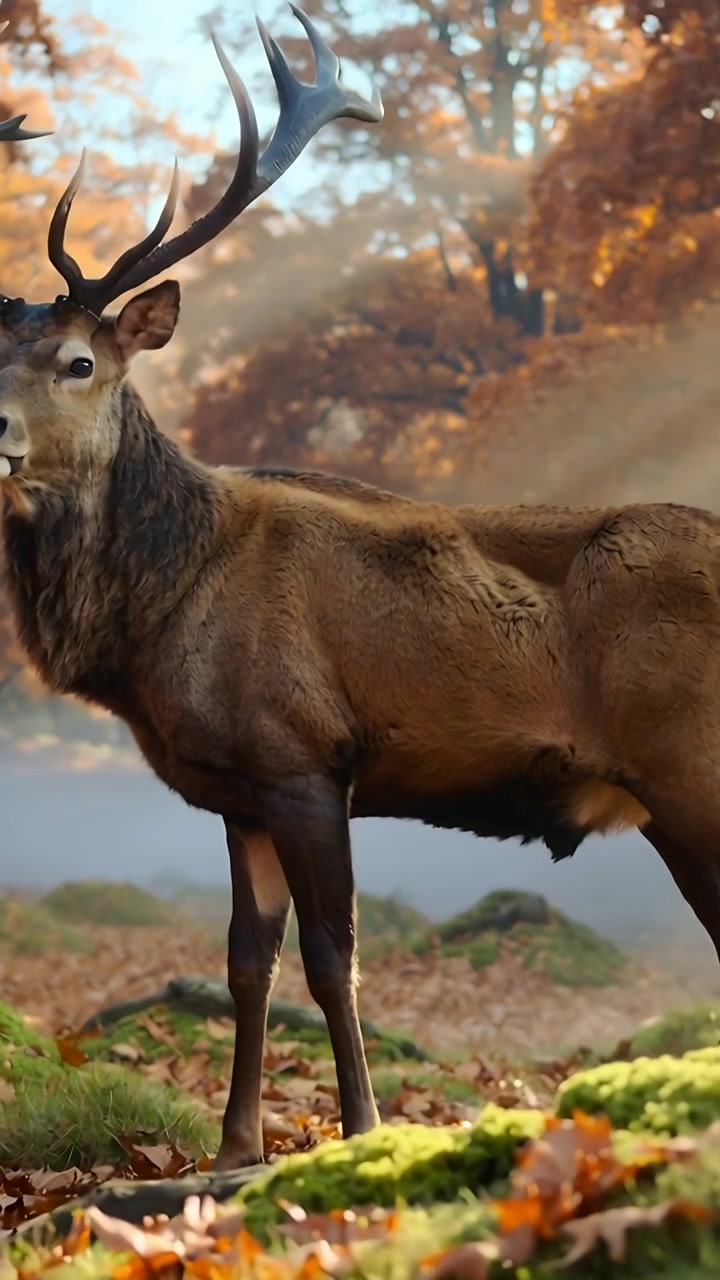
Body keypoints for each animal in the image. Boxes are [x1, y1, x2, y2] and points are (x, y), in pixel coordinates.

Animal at [2, 4, 720, 1176]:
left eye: (77, 360)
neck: (159, 621)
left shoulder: (305, 754)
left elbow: (333, 955)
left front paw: (365, 1128)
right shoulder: (239, 786)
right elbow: (245, 957)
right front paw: (237, 1145)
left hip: (690, 762)